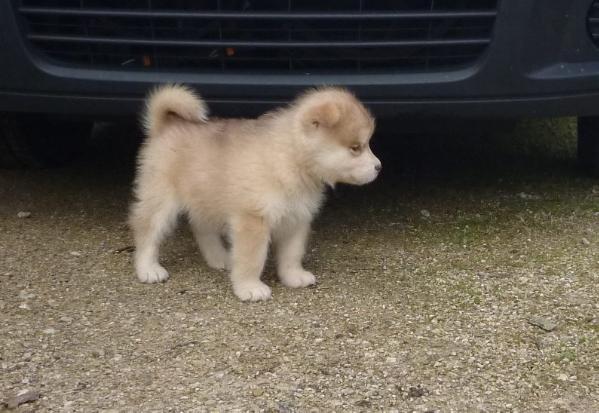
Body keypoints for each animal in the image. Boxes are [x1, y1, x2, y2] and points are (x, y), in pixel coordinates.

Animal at [131, 83, 382, 300]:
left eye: (367, 144)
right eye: (356, 148)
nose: (379, 167)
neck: (290, 157)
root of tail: (166, 125)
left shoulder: (297, 218)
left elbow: (292, 253)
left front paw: (294, 276)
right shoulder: (252, 219)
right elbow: (252, 258)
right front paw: (249, 288)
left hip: (206, 197)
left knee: (201, 228)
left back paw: (219, 258)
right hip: (161, 199)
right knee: (147, 231)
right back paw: (148, 269)